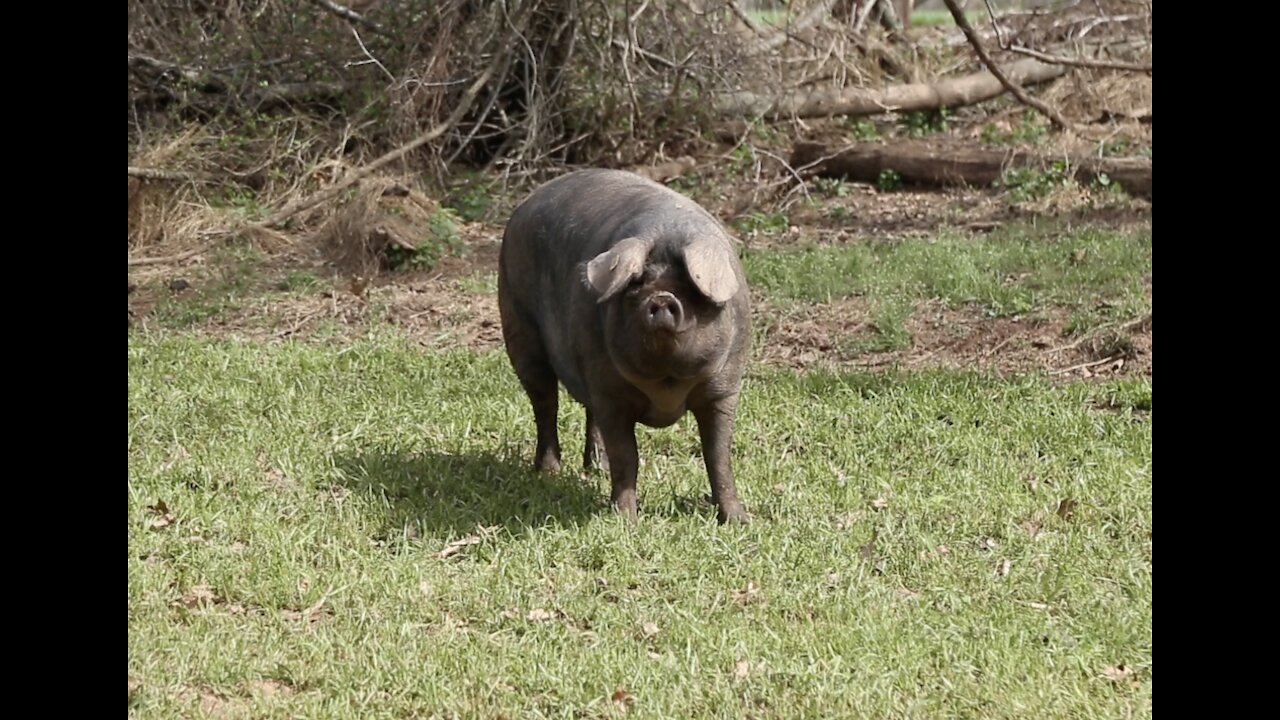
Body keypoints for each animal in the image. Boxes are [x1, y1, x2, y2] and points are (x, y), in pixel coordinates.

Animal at [491, 167, 747, 520]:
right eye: (636, 286)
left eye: (689, 288)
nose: (662, 299)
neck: (666, 383)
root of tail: (527, 201)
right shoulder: (611, 393)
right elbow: (627, 456)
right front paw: (626, 520)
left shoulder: (724, 387)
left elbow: (718, 456)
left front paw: (737, 521)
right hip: (519, 327)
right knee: (545, 403)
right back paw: (549, 473)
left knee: (587, 413)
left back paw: (596, 468)